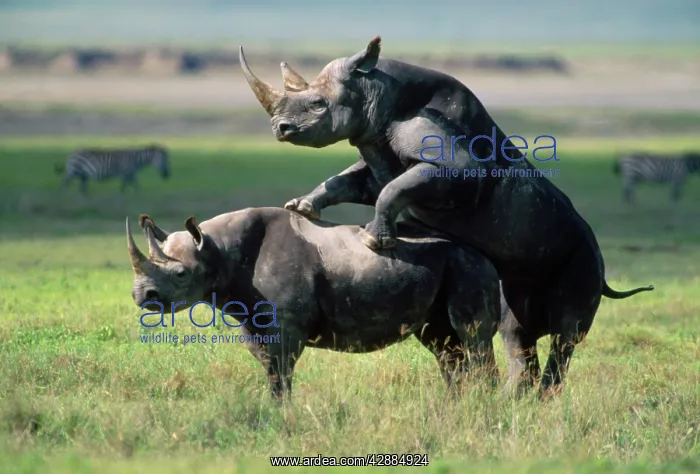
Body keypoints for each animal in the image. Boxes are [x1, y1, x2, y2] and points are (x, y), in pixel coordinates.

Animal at [127, 207, 502, 399]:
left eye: (180, 275)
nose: (142, 296)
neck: (217, 250)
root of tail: (484, 255)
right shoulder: (252, 320)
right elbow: (271, 370)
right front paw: (277, 412)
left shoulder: (287, 326)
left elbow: (282, 371)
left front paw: (283, 418)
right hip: (444, 267)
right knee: (445, 347)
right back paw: (457, 407)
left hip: (468, 267)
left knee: (473, 337)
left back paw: (485, 407)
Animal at [238, 37, 655, 396]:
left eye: (318, 104)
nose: (280, 129)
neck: (377, 90)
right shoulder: (376, 153)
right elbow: (352, 180)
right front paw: (301, 207)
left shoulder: (456, 167)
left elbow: (394, 188)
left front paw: (375, 240)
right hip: (522, 274)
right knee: (515, 329)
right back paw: (514, 399)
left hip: (584, 255)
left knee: (566, 334)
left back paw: (539, 398)